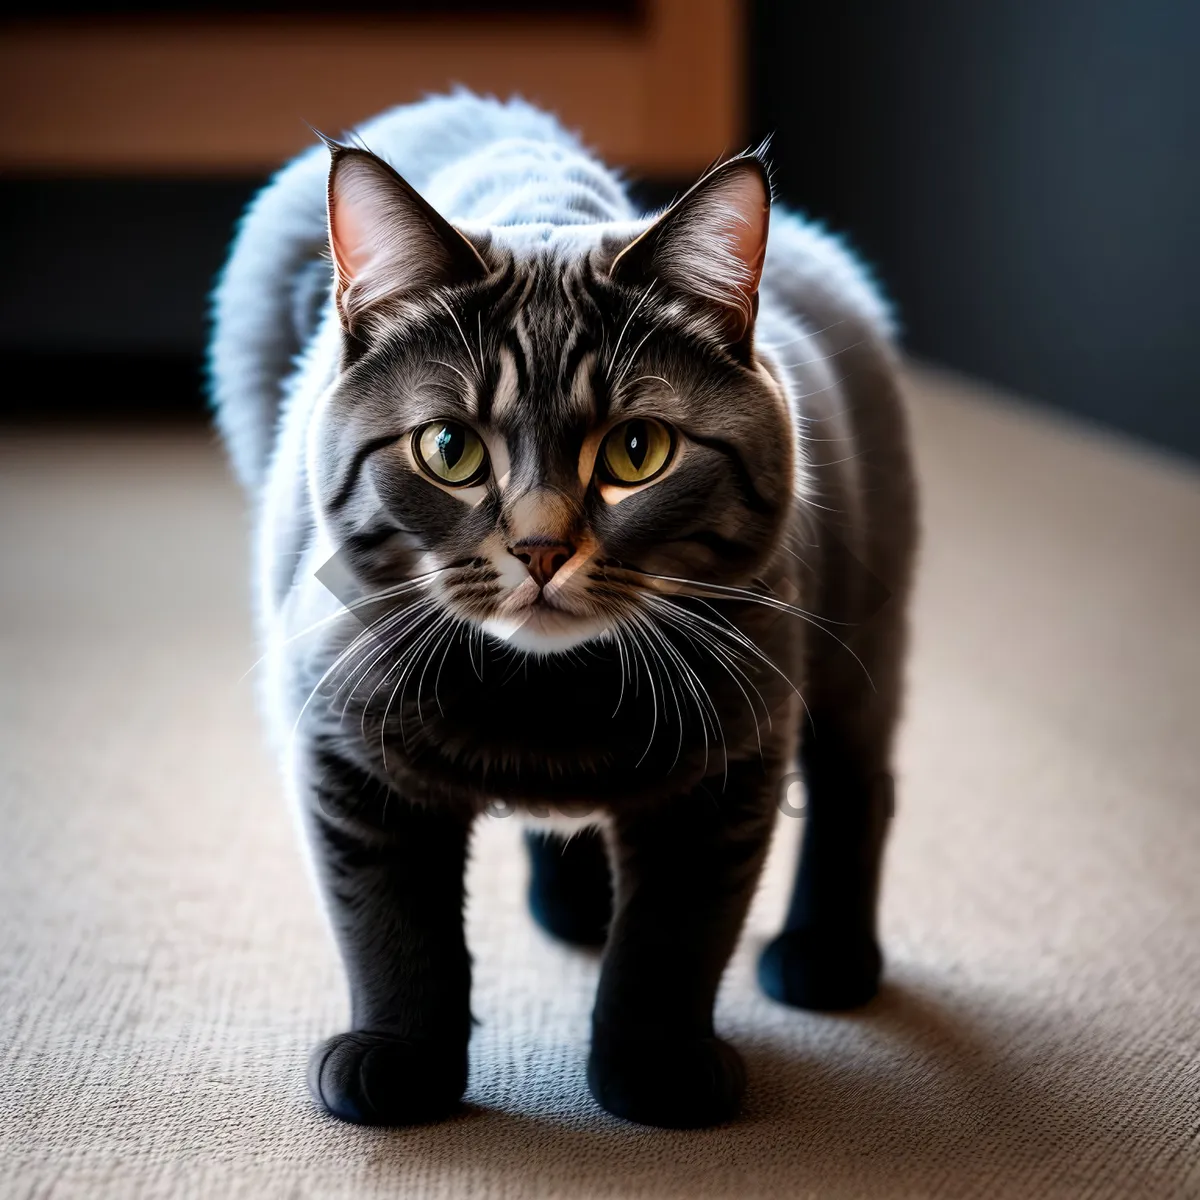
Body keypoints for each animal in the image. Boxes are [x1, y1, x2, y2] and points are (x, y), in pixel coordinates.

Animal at [208, 91, 916, 1123]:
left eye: (637, 450)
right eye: (450, 449)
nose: (541, 548)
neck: (544, 695)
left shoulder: (732, 759)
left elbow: (675, 936)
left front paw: (656, 1069)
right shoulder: (345, 749)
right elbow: (391, 922)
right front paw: (400, 1059)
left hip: (864, 625)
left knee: (859, 781)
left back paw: (825, 955)